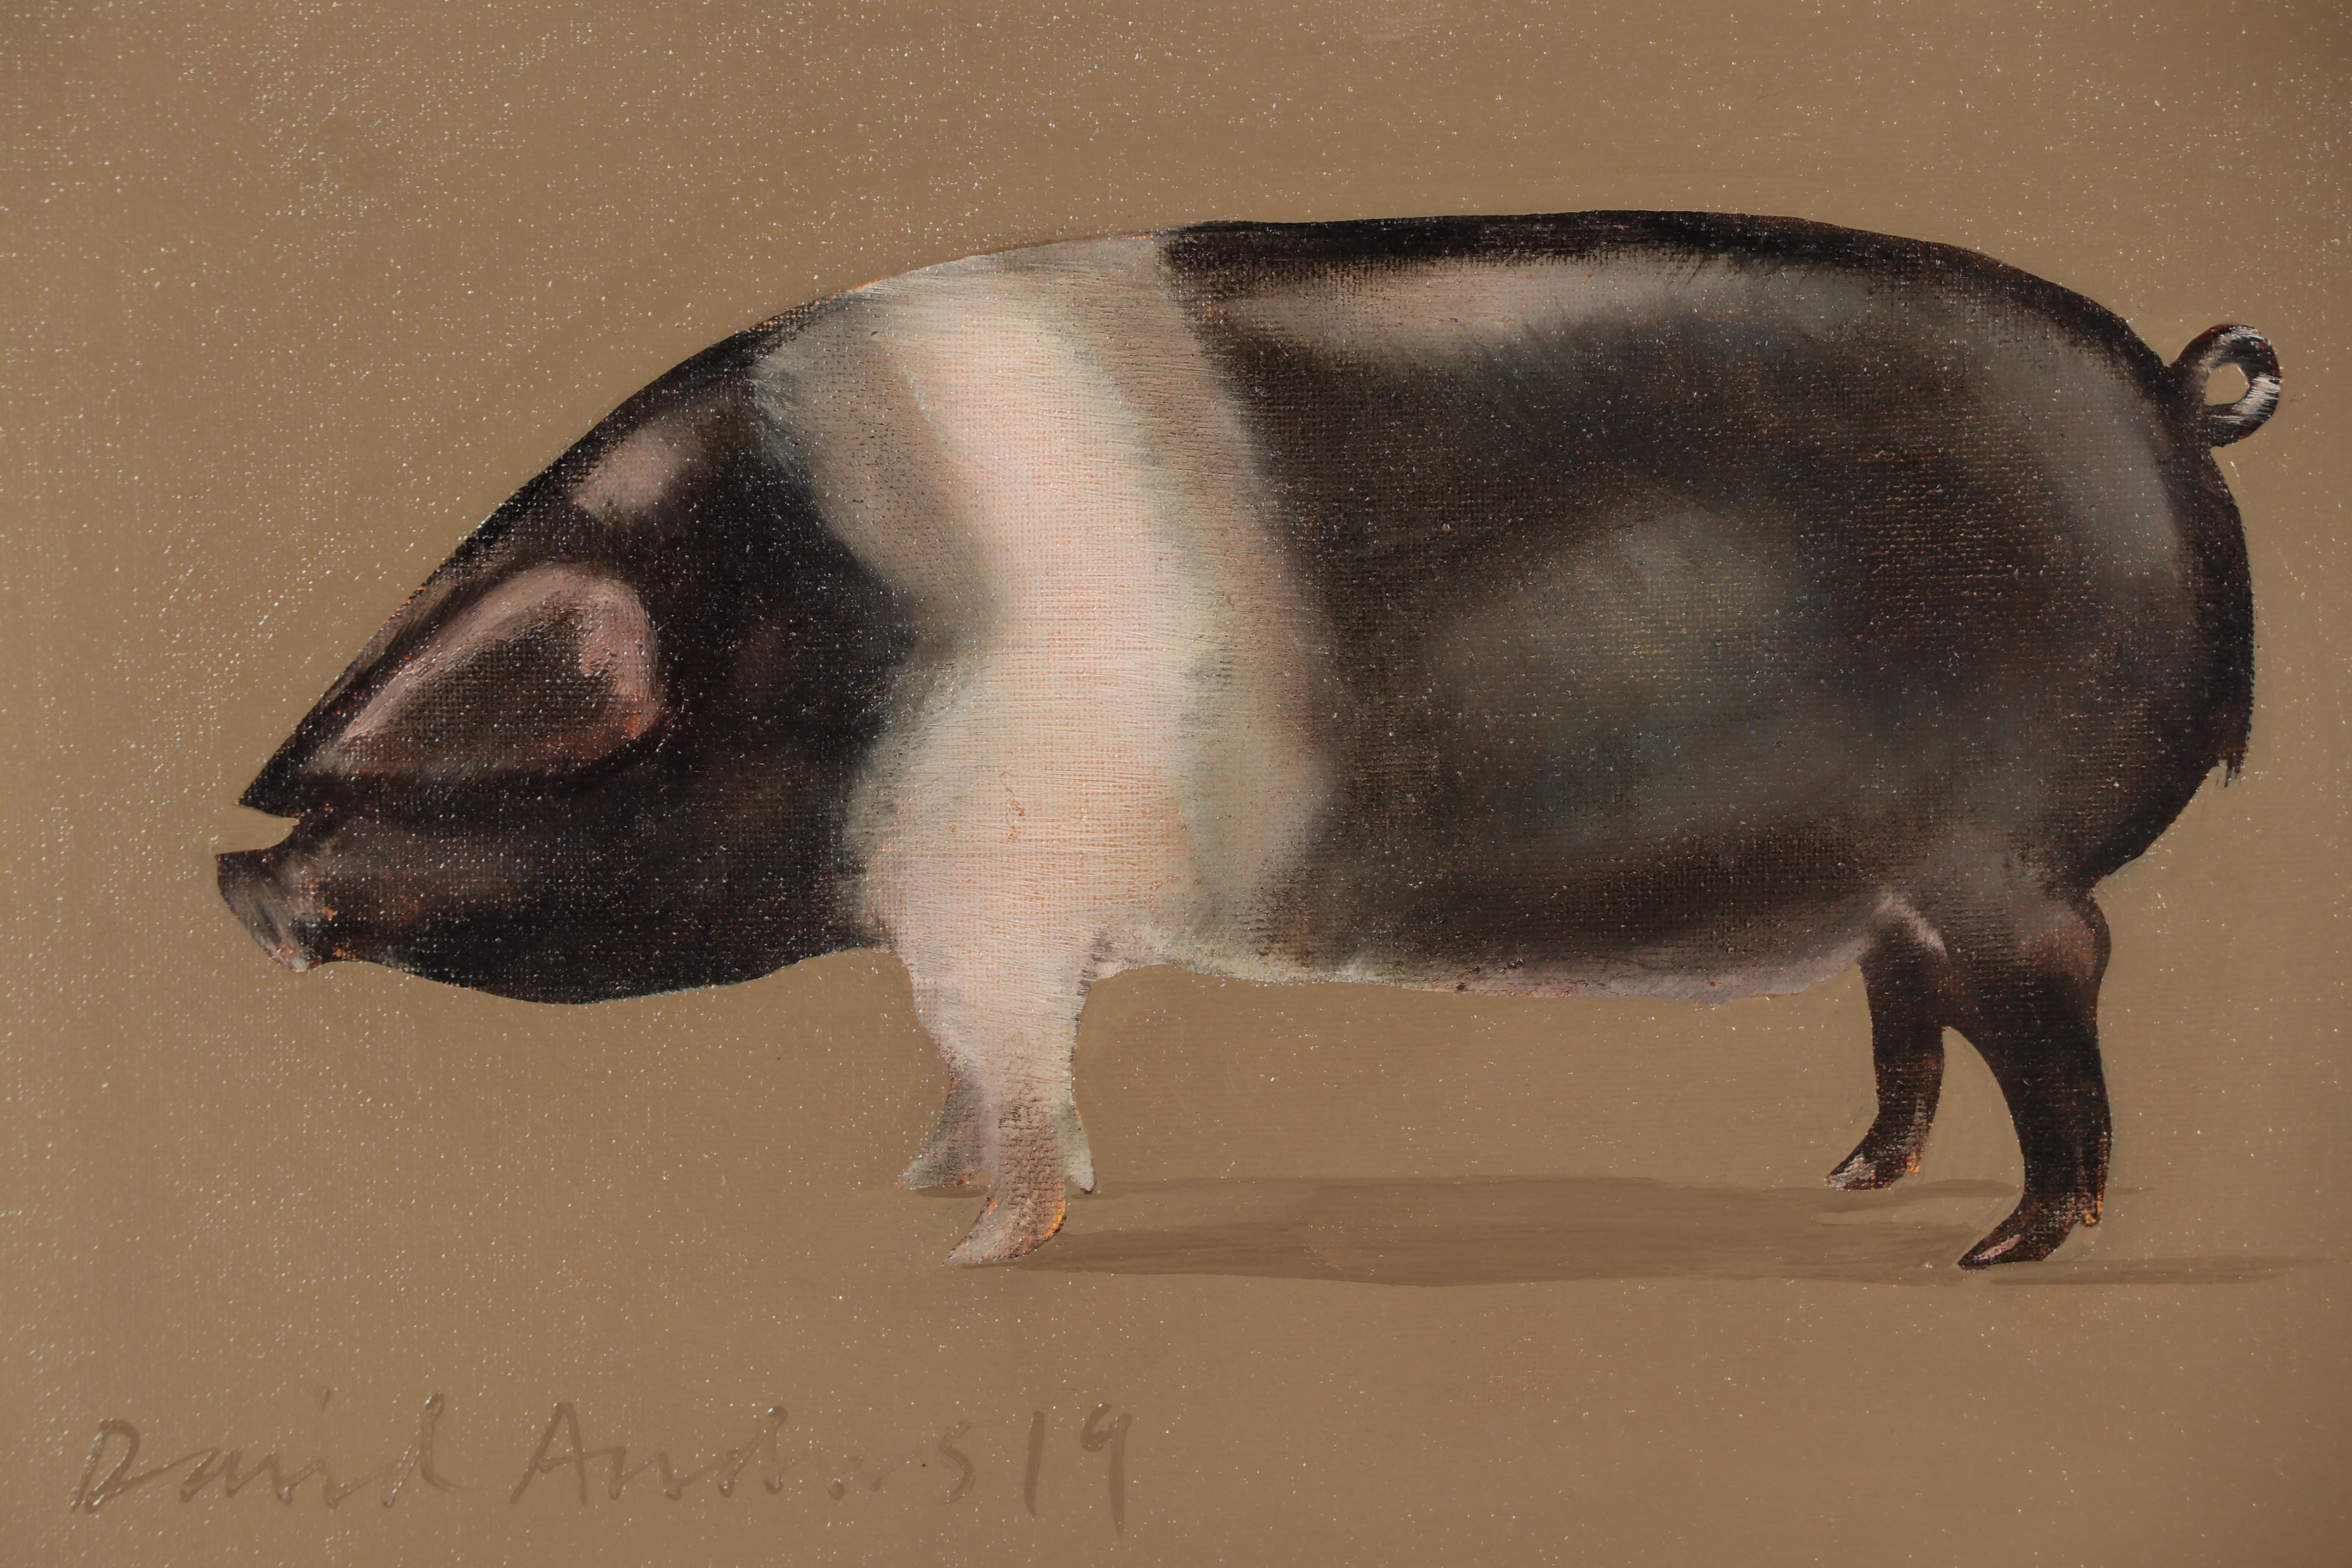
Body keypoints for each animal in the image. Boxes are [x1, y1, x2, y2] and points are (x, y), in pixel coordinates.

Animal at [218, 211, 2282, 1269]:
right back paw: (1853, 1181)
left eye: (484, 762)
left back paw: (2001, 1248)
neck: (818, 643)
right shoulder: (979, 922)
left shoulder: (985, 906)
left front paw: (980, 1244)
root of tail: (2180, 397)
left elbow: (1011, 1072)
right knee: (1911, 1002)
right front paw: (922, 1188)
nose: (237, 873)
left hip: (2004, 862)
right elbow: (967, 1073)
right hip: (1901, 888)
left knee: (2059, 987)